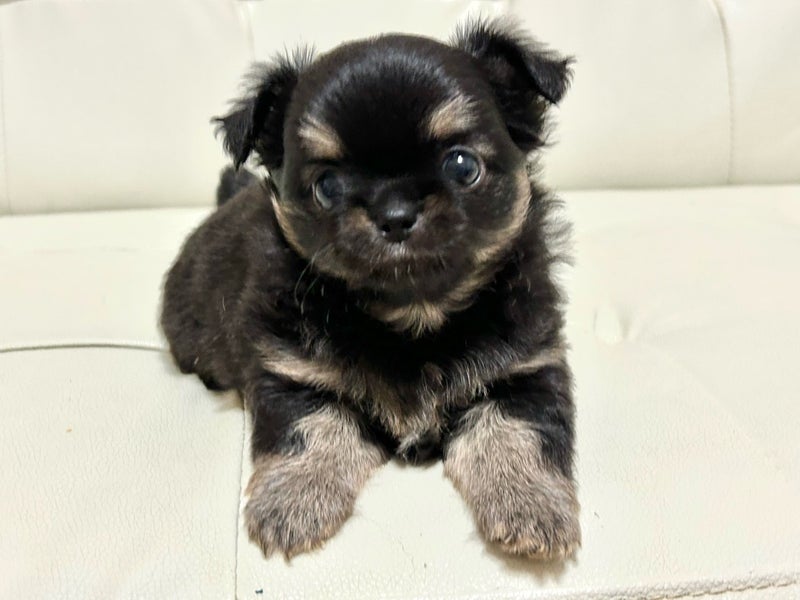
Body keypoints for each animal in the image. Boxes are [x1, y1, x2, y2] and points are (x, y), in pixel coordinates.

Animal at [161, 18, 579, 561]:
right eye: (327, 186)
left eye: (462, 166)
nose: (395, 214)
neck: (413, 314)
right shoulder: (293, 371)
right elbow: (309, 430)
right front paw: (293, 500)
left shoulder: (528, 368)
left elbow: (521, 433)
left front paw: (532, 506)